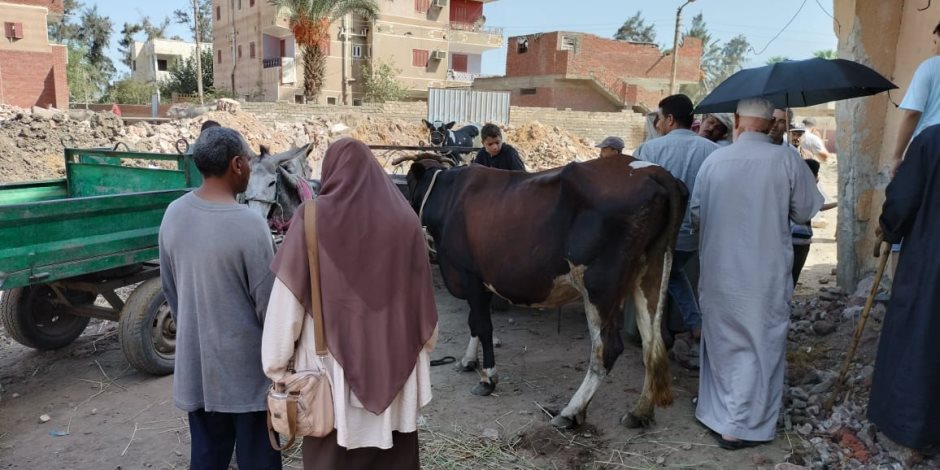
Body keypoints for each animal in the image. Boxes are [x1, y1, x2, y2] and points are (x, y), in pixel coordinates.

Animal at [400, 154, 688, 430]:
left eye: (408, 184)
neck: (450, 197)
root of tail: (654, 171)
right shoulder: (478, 282)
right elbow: (474, 323)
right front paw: (468, 361)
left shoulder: (469, 275)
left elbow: (483, 326)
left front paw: (487, 379)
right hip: (652, 271)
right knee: (653, 344)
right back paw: (639, 412)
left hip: (599, 285)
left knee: (607, 349)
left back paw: (570, 413)